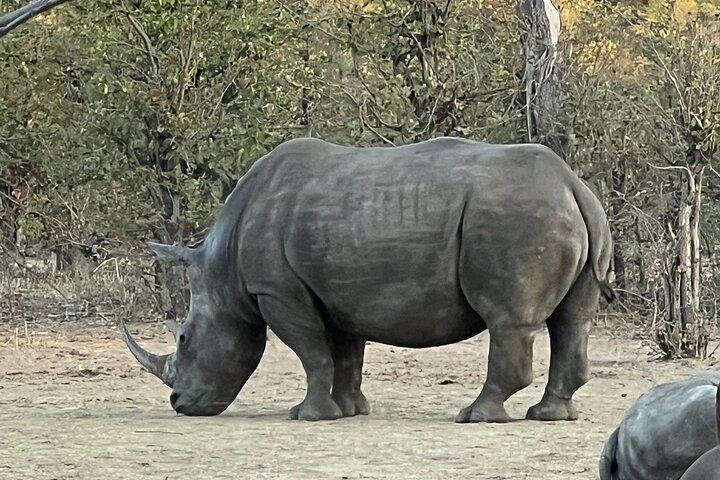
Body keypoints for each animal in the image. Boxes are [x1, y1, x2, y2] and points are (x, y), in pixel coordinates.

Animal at [122, 137, 613, 422]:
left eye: (184, 339)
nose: (179, 405)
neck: (222, 270)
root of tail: (571, 184)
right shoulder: (337, 292)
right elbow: (345, 355)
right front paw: (351, 410)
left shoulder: (278, 291)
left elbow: (312, 353)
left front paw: (308, 416)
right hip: (570, 213)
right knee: (572, 321)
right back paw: (549, 415)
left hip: (516, 219)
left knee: (508, 322)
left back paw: (474, 416)